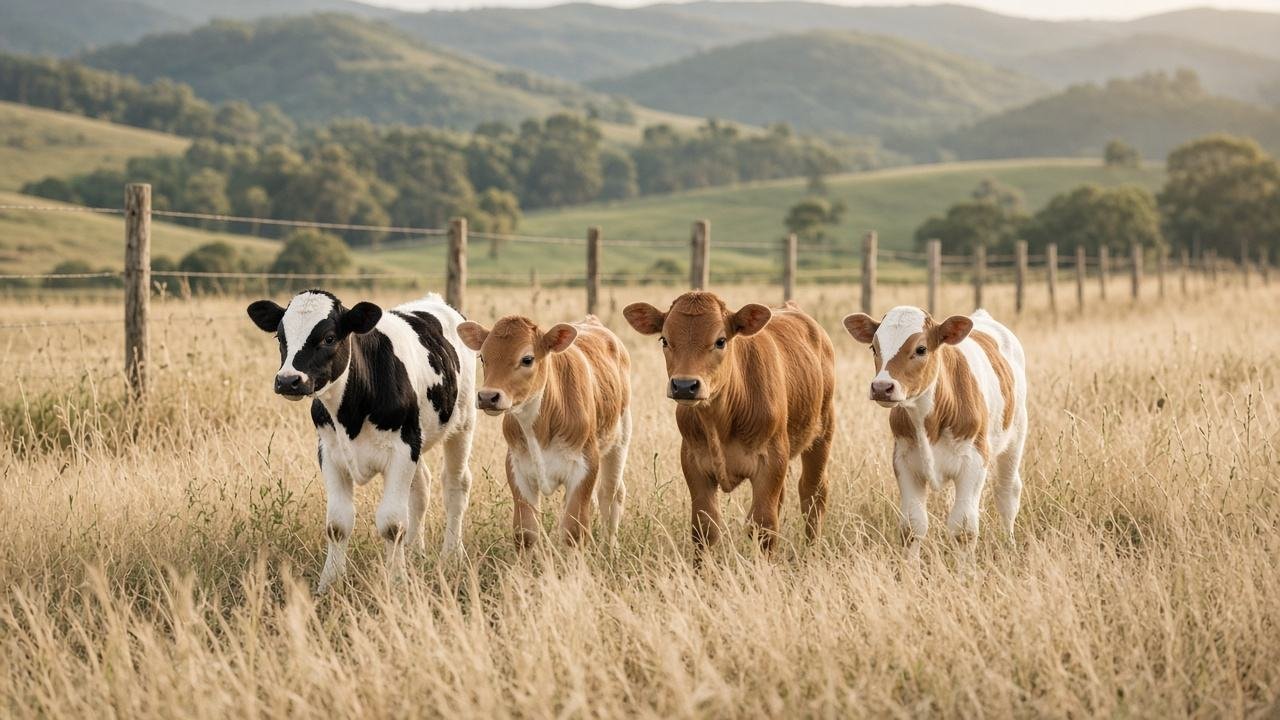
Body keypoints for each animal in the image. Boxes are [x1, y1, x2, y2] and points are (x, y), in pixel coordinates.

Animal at [246, 290, 476, 593]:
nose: (288, 380)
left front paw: (397, 583)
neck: (351, 414)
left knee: (455, 486)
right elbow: (337, 524)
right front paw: (329, 583)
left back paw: (451, 555)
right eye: (280, 337)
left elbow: (392, 524)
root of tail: (435, 301)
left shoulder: (402, 451)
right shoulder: (330, 453)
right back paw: (415, 552)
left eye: (329, 337)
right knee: (421, 488)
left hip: (463, 423)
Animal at [456, 315, 631, 548]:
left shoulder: (585, 466)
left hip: (619, 441)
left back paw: (611, 548)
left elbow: (573, 531)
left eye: (527, 359)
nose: (487, 396)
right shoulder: (518, 468)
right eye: (482, 357)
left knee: (611, 494)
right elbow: (526, 532)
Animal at [623, 292, 835, 555]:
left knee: (813, 493)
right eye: (664, 340)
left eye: (720, 341)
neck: (720, 421)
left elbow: (763, 526)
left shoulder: (771, 461)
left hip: (822, 433)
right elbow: (704, 527)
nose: (684, 385)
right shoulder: (694, 462)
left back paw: (811, 552)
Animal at [842, 306, 1027, 560]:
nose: (881, 387)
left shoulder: (974, 462)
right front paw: (910, 568)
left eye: (921, 349)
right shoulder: (904, 462)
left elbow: (963, 529)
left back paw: (1010, 545)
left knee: (1007, 493)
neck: (928, 419)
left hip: (1015, 437)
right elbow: (912, 526)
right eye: (873, 347)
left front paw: (964, 569)